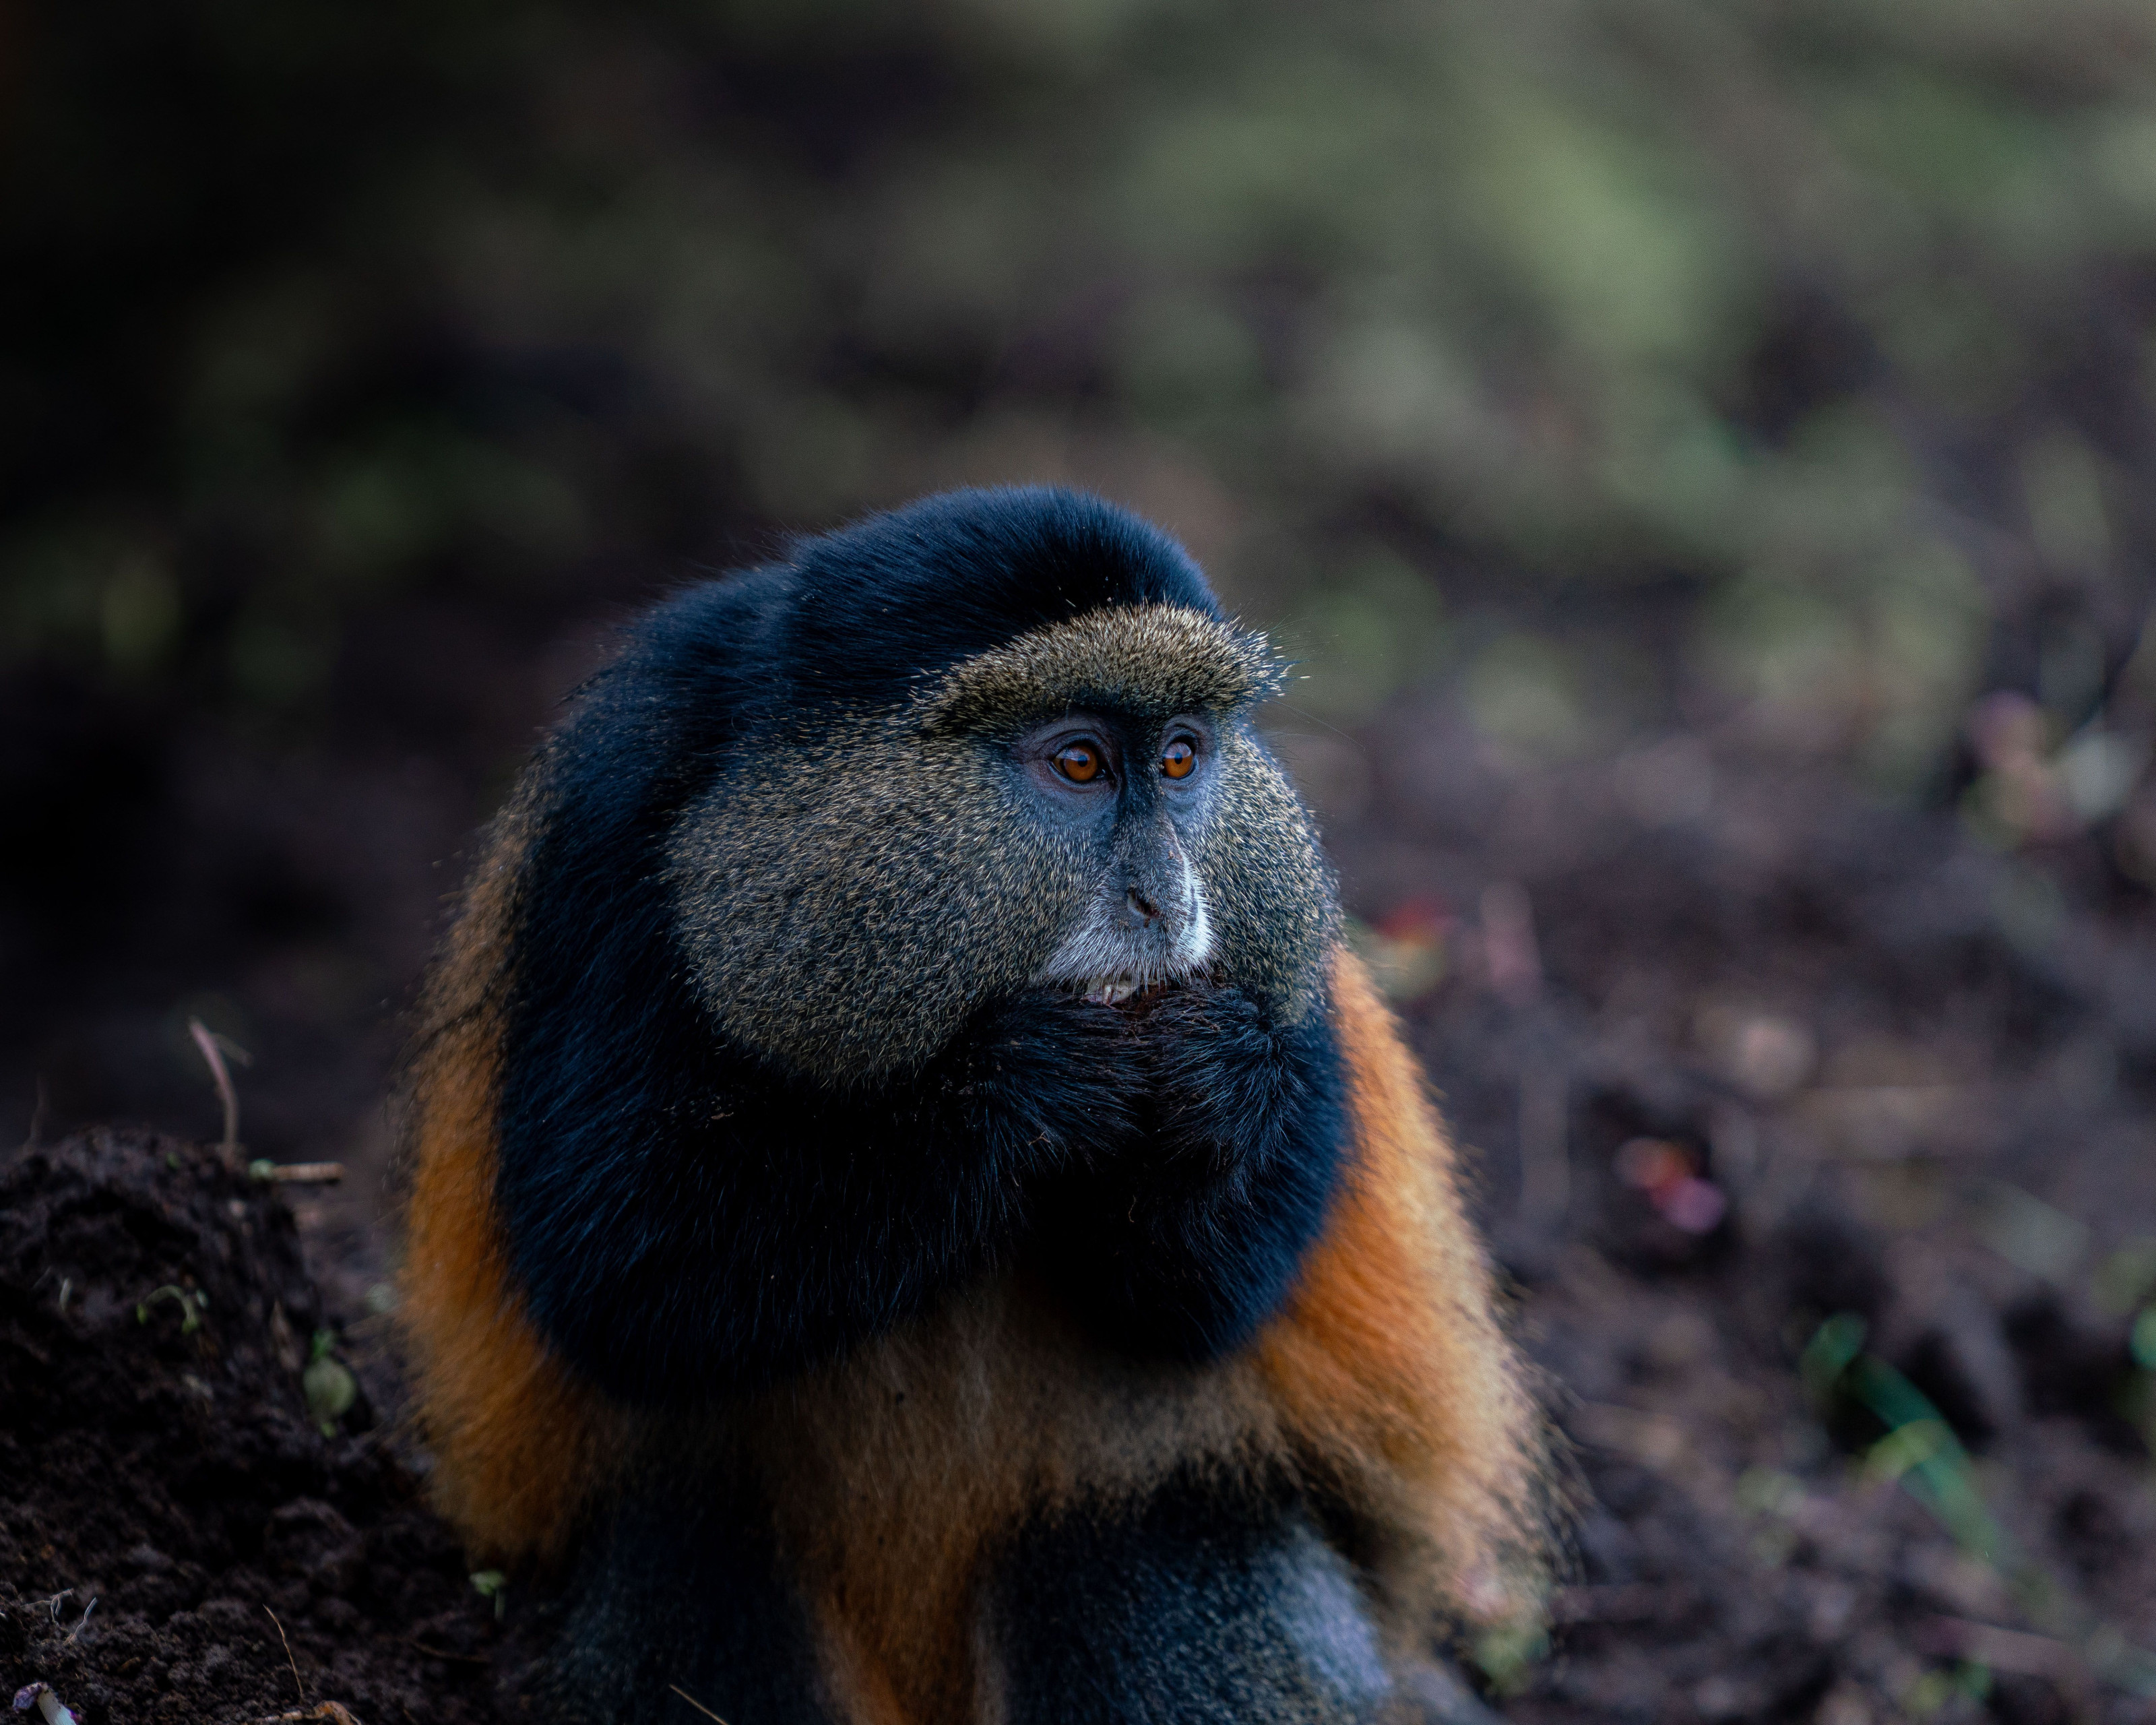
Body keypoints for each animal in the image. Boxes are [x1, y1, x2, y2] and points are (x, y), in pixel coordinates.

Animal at [397, 486, 1553, 1724]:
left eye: (1182, 758)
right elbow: (616, 1278)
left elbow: (1208, 1304)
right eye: (1080, 764)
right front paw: (1019, 1090)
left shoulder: (1284, 962)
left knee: (1135, 1544)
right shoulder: (607, 826)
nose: (1170, 898)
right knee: (693, 1548)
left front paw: (1212, 1079)